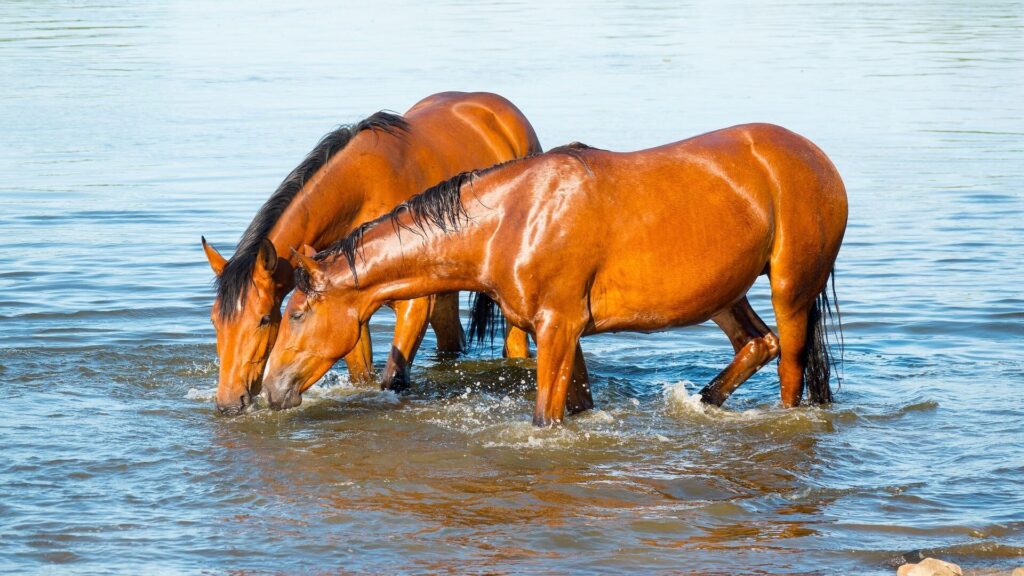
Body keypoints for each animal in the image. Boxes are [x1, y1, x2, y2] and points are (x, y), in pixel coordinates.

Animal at [198, 89, 589, 412]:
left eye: (265, 319)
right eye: (215, 321)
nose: (229, 402)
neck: (360, 190)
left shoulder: (413, 304)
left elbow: (393, 380)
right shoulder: (345, 305)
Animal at [260, 121, 843, 426]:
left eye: (295, 314)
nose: (270, 387)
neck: (513, 218)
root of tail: (815, 157)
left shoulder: (558, 327)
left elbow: (546, 417)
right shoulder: (564, 333)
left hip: (791, 291)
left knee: (790, 370)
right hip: (725, 294)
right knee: (757, 344)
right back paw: (702, 400)